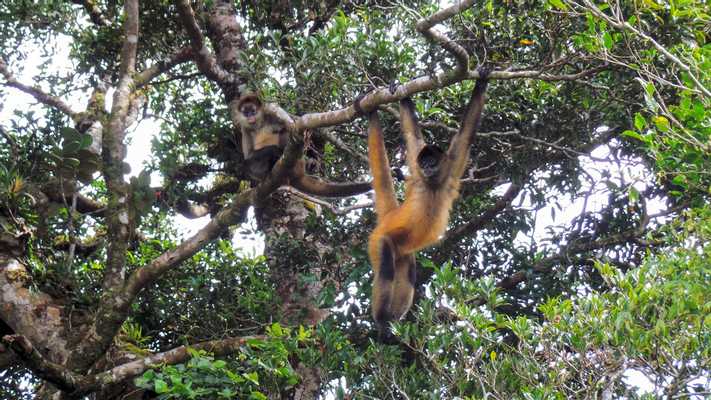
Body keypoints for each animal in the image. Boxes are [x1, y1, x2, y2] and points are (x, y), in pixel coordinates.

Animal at [238, 94, 376, 200]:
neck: (259, 123)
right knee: (250, 162)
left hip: (297, 162)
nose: (250, 116)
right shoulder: (245, 128)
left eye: (253, 111)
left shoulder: (271, 110)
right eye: (246, 112)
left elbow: (294, 127)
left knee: (285, 134)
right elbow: (249, 155)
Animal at [362, 69, 490, 338]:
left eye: (433, 162)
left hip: (403, 252)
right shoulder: (418, 172)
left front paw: (482, 81)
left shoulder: (450, 169)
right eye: (424, 163)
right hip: (379, 240)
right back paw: (382, 322)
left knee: (408, 273)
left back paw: (394, 323)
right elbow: (413, 135)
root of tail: (390, 215)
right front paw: (402, 94)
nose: (427, 167)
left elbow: (466, 134)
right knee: (386, 267)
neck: (432, 185)